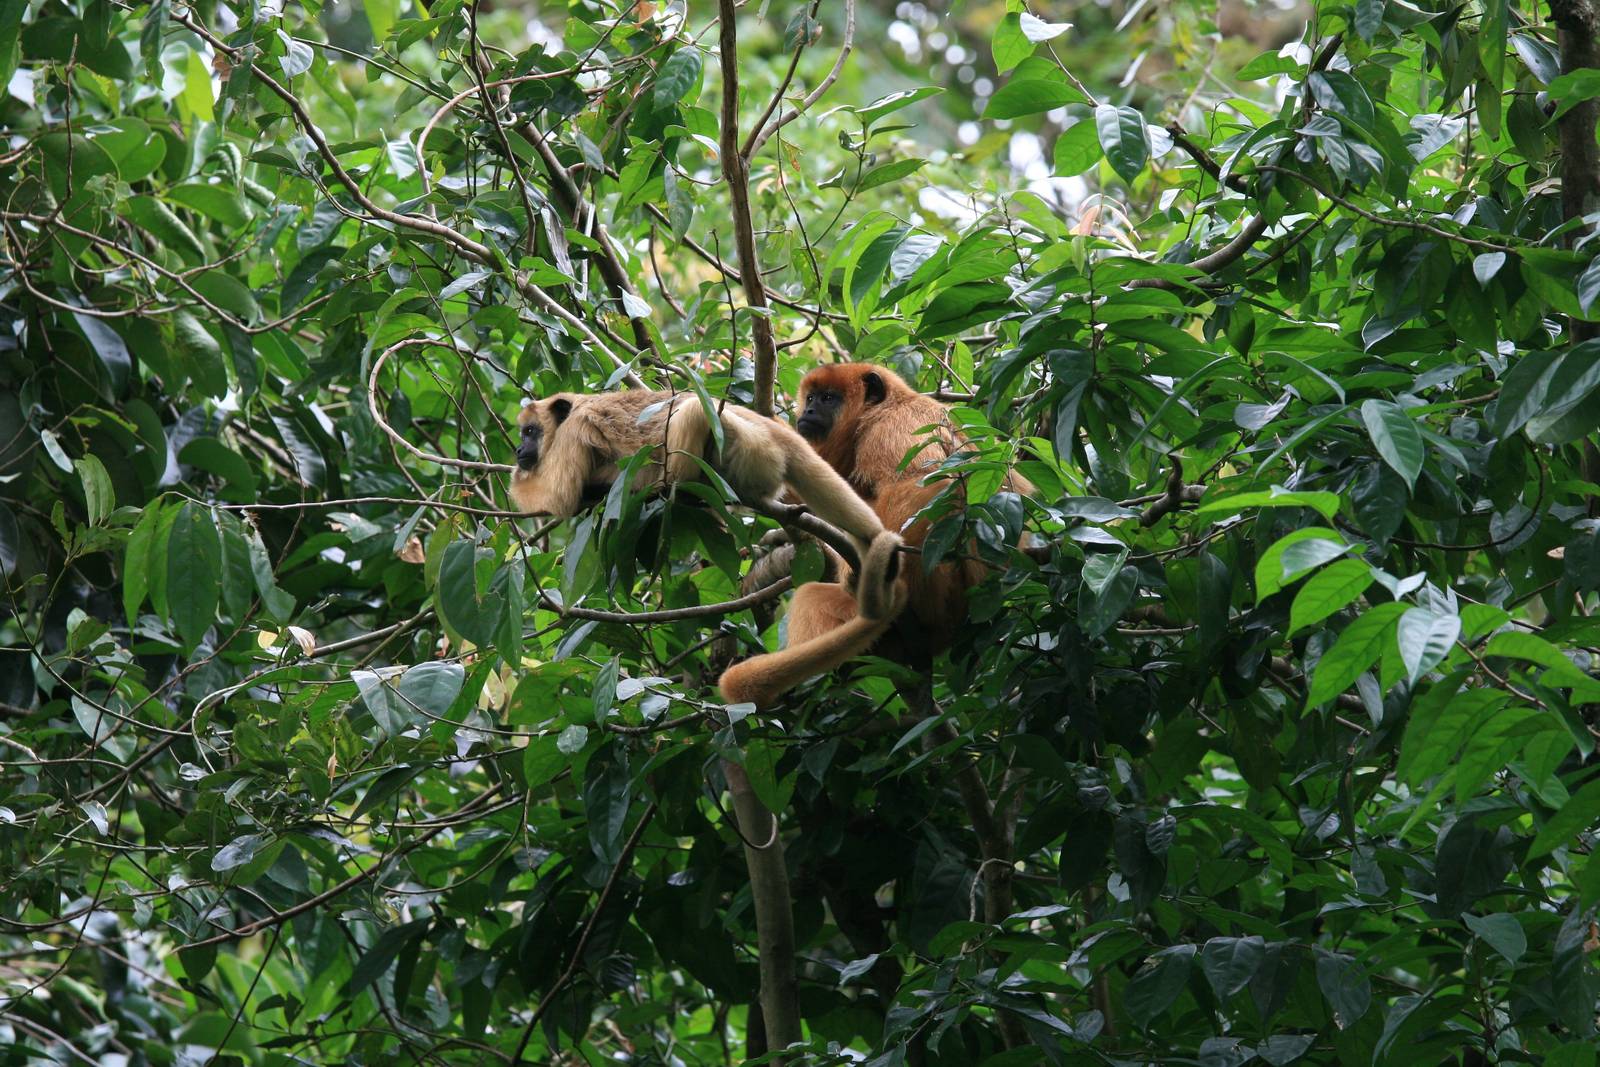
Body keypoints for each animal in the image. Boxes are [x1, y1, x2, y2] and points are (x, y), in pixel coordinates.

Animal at [509, 389, 905, 622]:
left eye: (530, 431)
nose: (518, 449)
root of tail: (777, 432)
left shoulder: (574, 429)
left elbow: (560, 494)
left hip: (749, 448)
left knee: (694, 410)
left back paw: (673, 488)